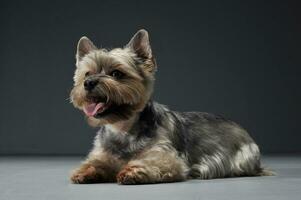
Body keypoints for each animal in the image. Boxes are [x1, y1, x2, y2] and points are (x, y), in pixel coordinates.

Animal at [69, 28, 270, 184]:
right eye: (87, 73)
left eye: (116, 74)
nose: (88, 83)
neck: (123, 128)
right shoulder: (102, 153)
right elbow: (96, 162)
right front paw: (85, 172)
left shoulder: (166, 157)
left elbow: (155, 162)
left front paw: (132, 171)